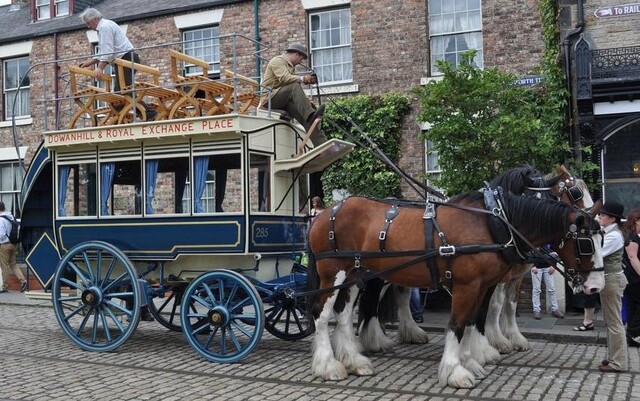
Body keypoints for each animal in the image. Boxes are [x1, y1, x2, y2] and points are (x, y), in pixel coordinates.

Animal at [308, 191, 604, 388]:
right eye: (586, 243)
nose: (596, 286)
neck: (492, 225)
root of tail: (324, 213)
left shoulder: (482, 286)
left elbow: (473, 322)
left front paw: (471, 361)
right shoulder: (466, 285)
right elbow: (457, 325)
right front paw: (455, 371)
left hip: (355, 274)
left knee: (343, 316)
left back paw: (354, 361)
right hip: (334, 273)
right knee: (321, 315)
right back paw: (329, 365)